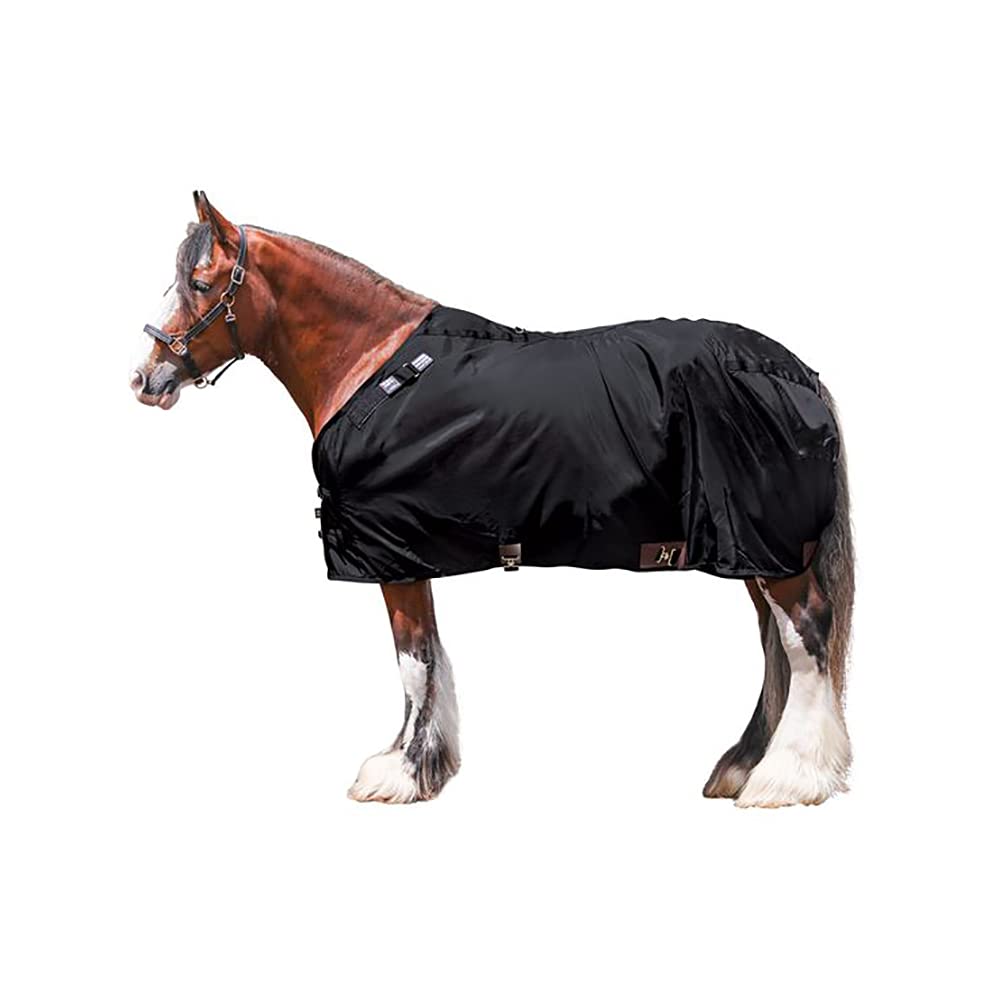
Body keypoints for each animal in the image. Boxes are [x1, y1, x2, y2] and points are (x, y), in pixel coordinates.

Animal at [131, 191, 854, 808]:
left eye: (200, 285)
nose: (145, 378)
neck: (375, 366)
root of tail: (799, 372)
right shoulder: (408, 554)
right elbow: (424, 659)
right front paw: (420, 762)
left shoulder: (390, 554)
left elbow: (414, 662)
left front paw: (400, 775)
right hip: (753, 552)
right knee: (775, 645)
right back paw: (742, 766)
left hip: (770, 550)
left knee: (806, 639)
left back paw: (786, 778)